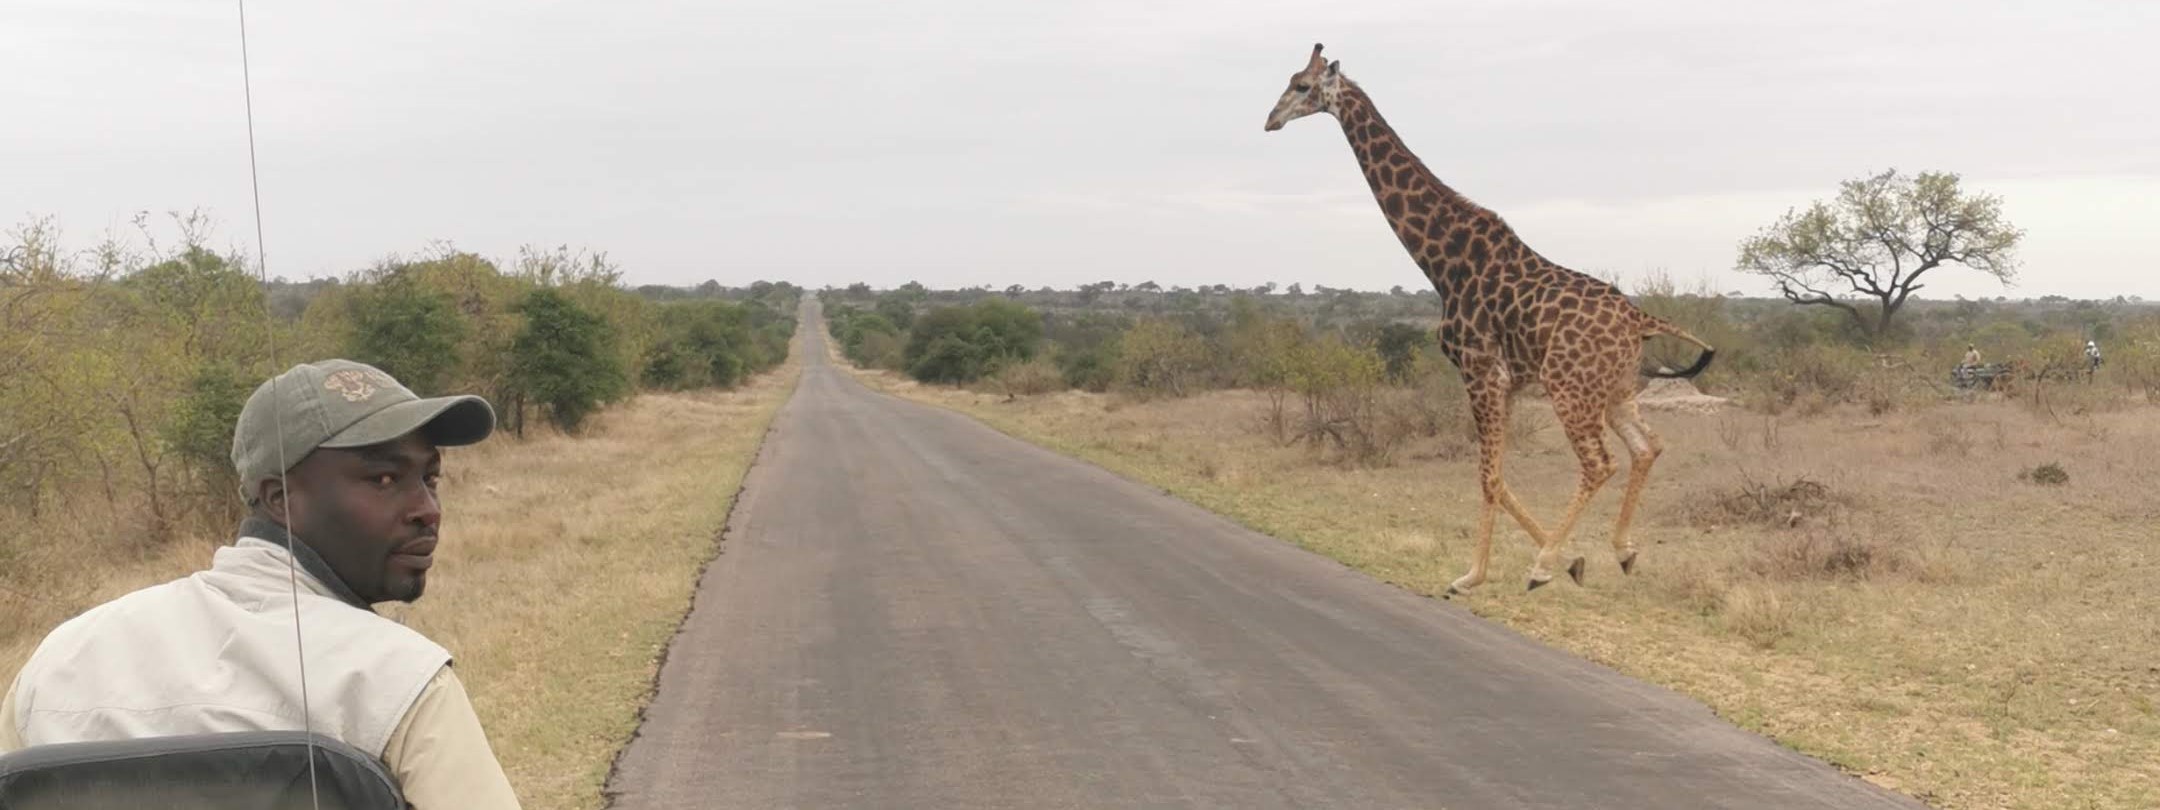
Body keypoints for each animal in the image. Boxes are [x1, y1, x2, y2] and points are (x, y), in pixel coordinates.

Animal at [1261, 44, 1710, 596]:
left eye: (1302, 86)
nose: (1270, 119)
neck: (1442, 263)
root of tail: (1638, 317)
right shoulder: (1507, 381)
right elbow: (1501, 477)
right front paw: (1571, 561)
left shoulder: (1479, 371)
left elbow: (1489, 477)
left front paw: (1474, 575)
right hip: (1616, 390)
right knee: (1648, 446)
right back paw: (1621, 551)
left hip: (1570, 388)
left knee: (1599, 462)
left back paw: (1540, 567)